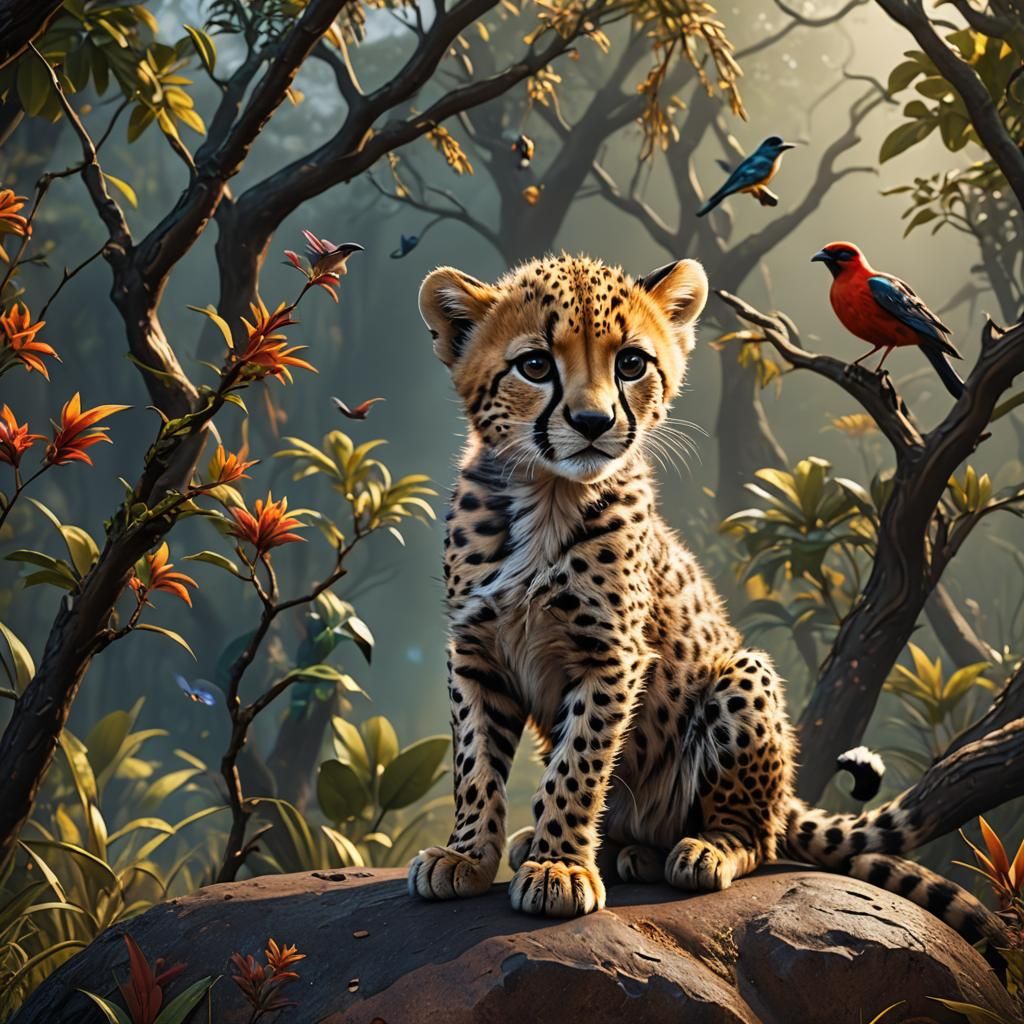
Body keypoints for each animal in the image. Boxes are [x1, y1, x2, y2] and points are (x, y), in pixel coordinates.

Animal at [406, 252, 1002, 950]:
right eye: (534, 365)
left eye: (631, 363)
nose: (592, 423)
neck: (547, 496)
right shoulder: (475, 650)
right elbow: (474, 761)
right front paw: (468, 856)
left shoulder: (611, 657)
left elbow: (576, 765)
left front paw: (558, 867)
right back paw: (607, 848)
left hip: (743, 678)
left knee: (757, 838)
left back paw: (697, 851)